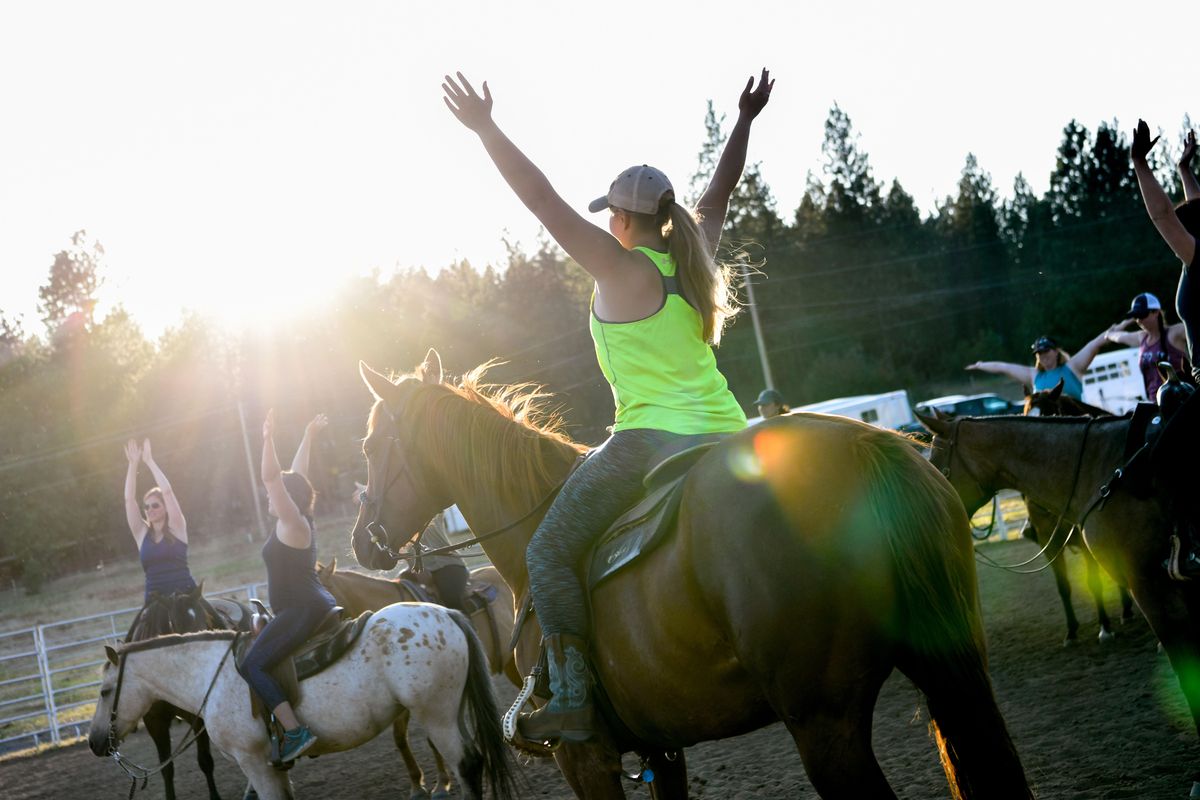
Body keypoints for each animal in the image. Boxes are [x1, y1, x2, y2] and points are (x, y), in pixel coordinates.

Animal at [87, 604, 513, 800]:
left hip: (436, 715)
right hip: (451, 712)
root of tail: (447, 613)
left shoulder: (254, 762)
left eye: (105, 691)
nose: (94, 742)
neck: (212, 674)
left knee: (467, 764)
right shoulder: (271, 765)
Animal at [345, 352, 1032, 800]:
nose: (362, 540)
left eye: (371, 447)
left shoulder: (585, 759)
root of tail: (869, 449)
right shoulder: (660, 747)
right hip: (952, 671)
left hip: (824, 725)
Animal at [1012, 383, 1132, 642]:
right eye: (1025, 416)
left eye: (1052, 416)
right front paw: (1071, 630)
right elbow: (1063, 586)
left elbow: (1093, 582)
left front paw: (1105, 628)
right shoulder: (1049, 542)